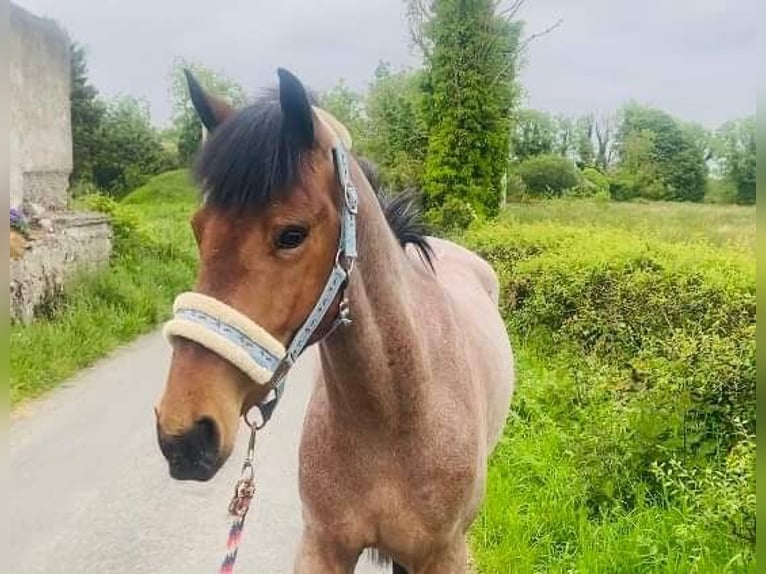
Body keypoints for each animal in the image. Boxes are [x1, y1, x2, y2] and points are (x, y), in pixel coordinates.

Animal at [155, 68, 516, 574]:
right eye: (198, 228)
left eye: (292, 234)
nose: (184, 434)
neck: (395, 413)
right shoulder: (322, 546)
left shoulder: (445, 554)